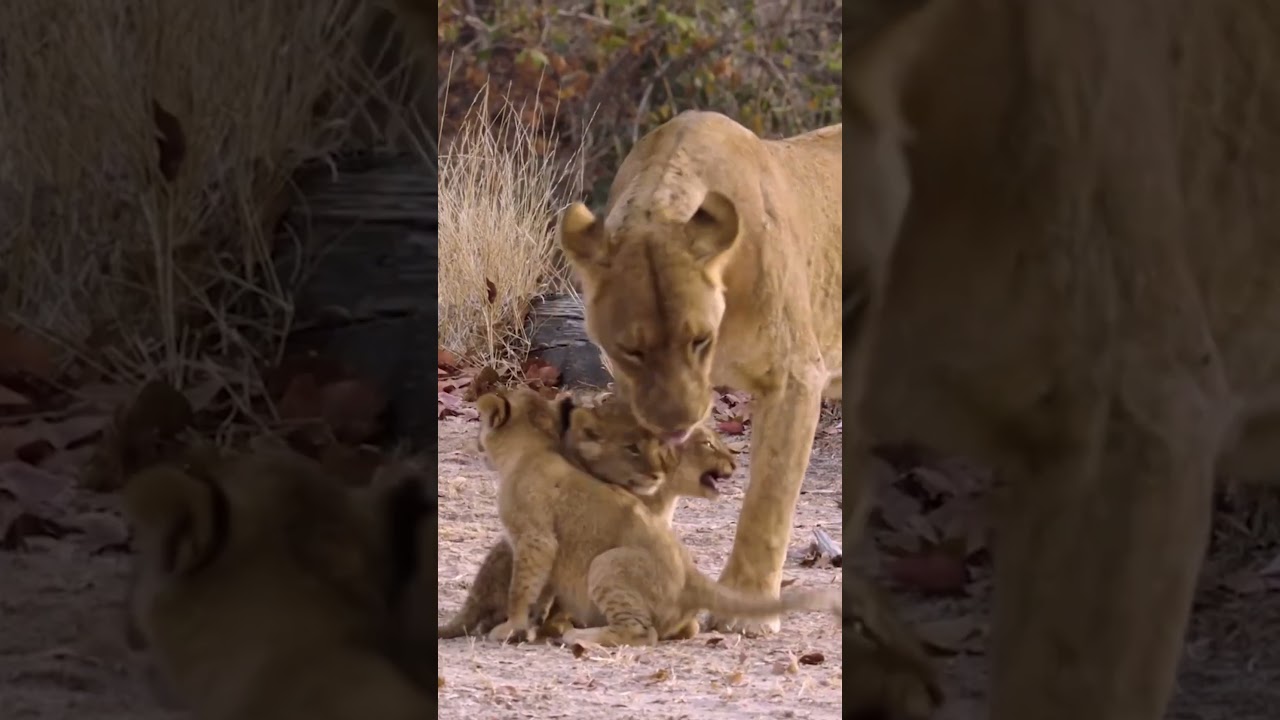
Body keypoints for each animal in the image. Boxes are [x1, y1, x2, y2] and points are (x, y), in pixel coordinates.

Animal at [474, 387, 841, 647]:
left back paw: (581, 638)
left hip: (608, 564)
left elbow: (520, 588)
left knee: (641, 633)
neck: (534, 448)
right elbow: (542, 591)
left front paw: (511, 627)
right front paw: (532, 625)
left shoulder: (535, 539)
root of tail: (693, 577)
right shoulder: (549, 552)